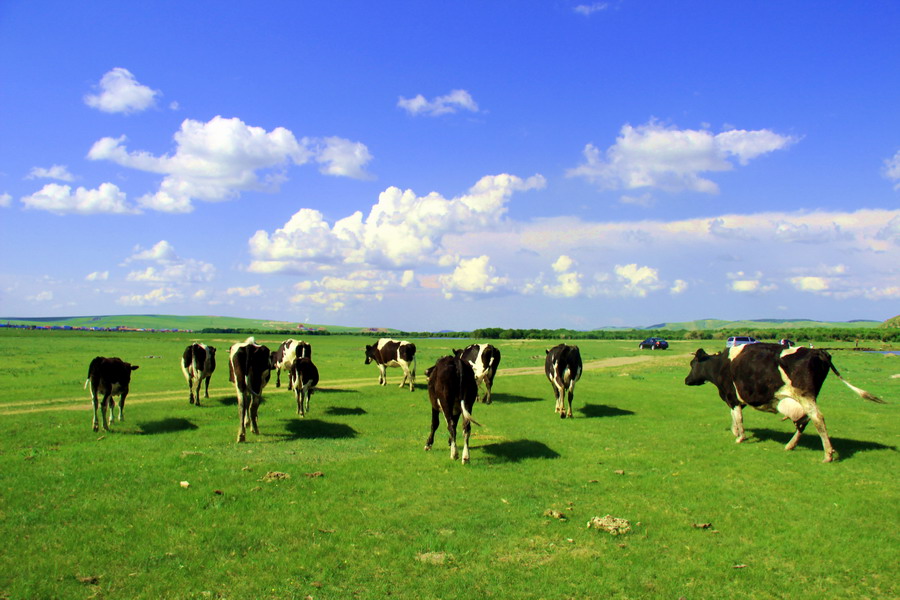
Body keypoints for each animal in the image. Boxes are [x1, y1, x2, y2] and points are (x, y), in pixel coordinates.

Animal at [684, 342, 884, 464]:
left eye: (692, 364)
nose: (686, 380)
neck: (719, 365)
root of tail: (817, 351)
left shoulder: (731, 397)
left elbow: (738, 417)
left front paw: (740, 437)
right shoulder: (738, 400)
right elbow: (736, 417)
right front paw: (736, 432)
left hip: (805, 396)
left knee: (818, 419)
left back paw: (827, 454)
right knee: (805, 421)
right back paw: (791, 445)